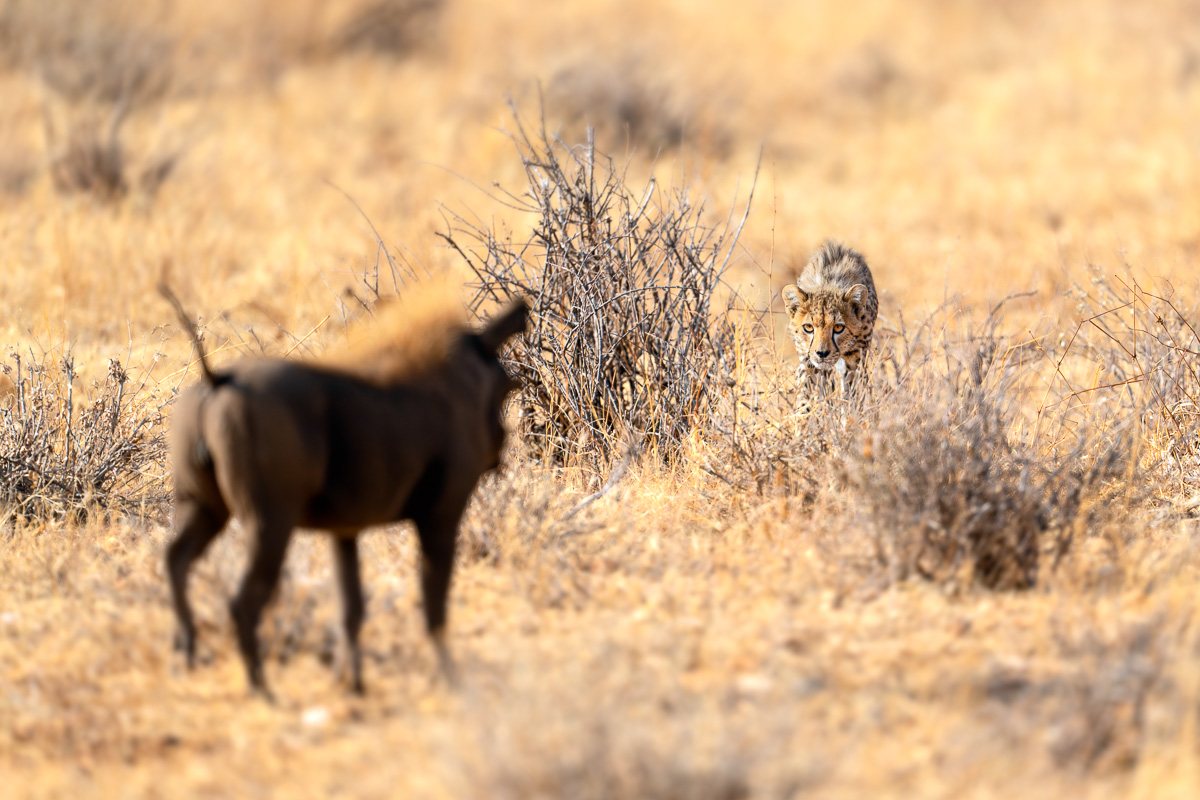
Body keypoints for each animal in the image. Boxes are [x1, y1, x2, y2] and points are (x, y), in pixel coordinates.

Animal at [782, 237, 878, 400]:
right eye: (808, 327)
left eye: (838, 327)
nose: (822, 353)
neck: (827, 285)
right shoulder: (807, 358)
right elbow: (806, 386)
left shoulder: (856, 359)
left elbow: (852, 388)